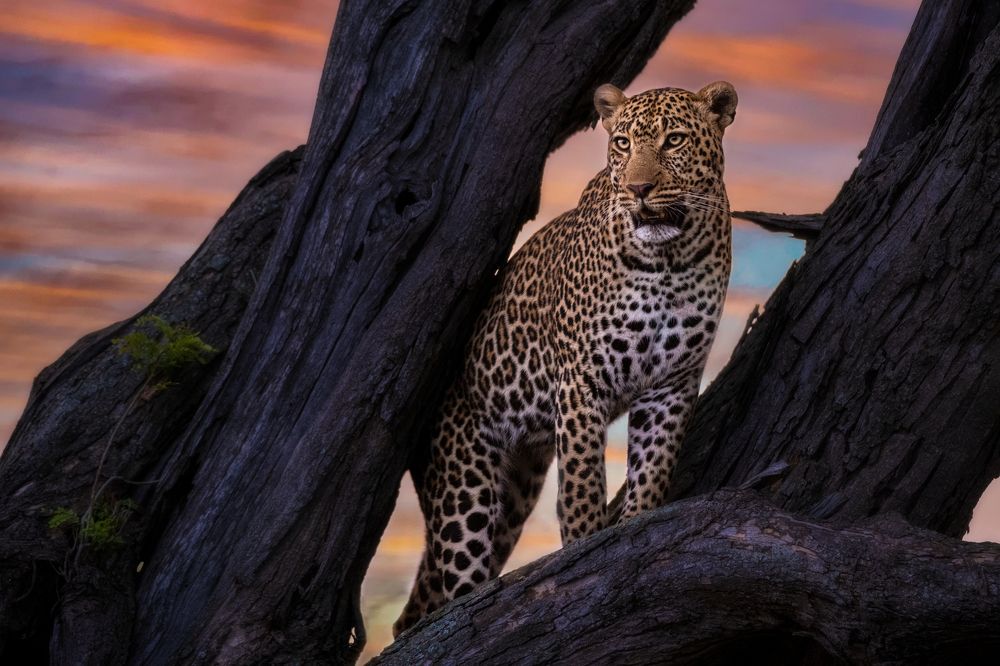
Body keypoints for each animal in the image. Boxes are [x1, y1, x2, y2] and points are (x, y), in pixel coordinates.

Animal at [394, 80, 738, 636]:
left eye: (674, 140)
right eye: (622, 143)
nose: (639, 189)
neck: (669, 262)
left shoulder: (672, 384)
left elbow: (653, 470)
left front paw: (634, 529)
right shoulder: (581, 379)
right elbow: (581, 485)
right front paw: (583, 554)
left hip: (514, 493)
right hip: (463, 484)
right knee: (454, 584)